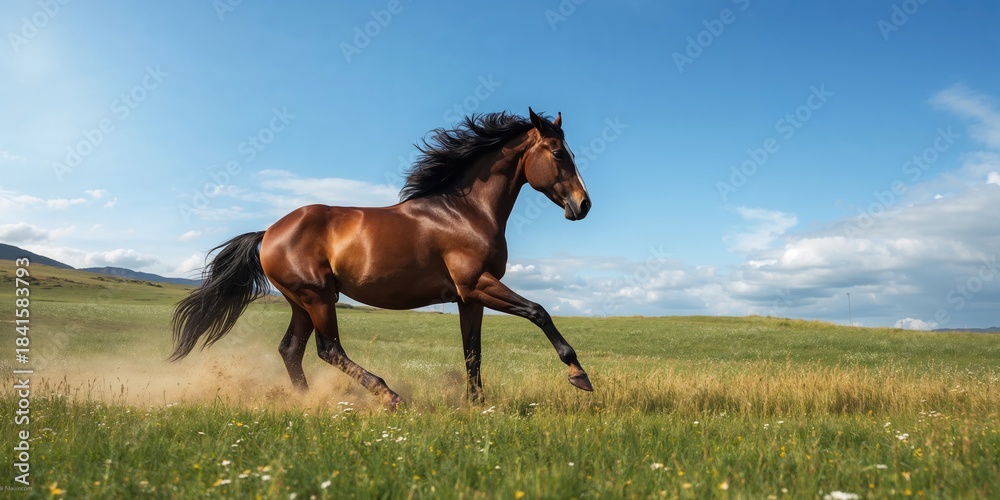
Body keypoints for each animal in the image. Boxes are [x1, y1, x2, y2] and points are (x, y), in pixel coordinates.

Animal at [170, 108, 593, 408]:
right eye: (559, 153)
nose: (583, 205)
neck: (466, 212)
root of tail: (269, 232)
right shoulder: (478, 284)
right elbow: (539, 311)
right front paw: (579, 375)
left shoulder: (468, 297)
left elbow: (472, 352)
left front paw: (477, 404)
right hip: (317, 297)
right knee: (328, 349)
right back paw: (388, 396)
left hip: (300, 301)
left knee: (291, 350)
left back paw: (307, 402)